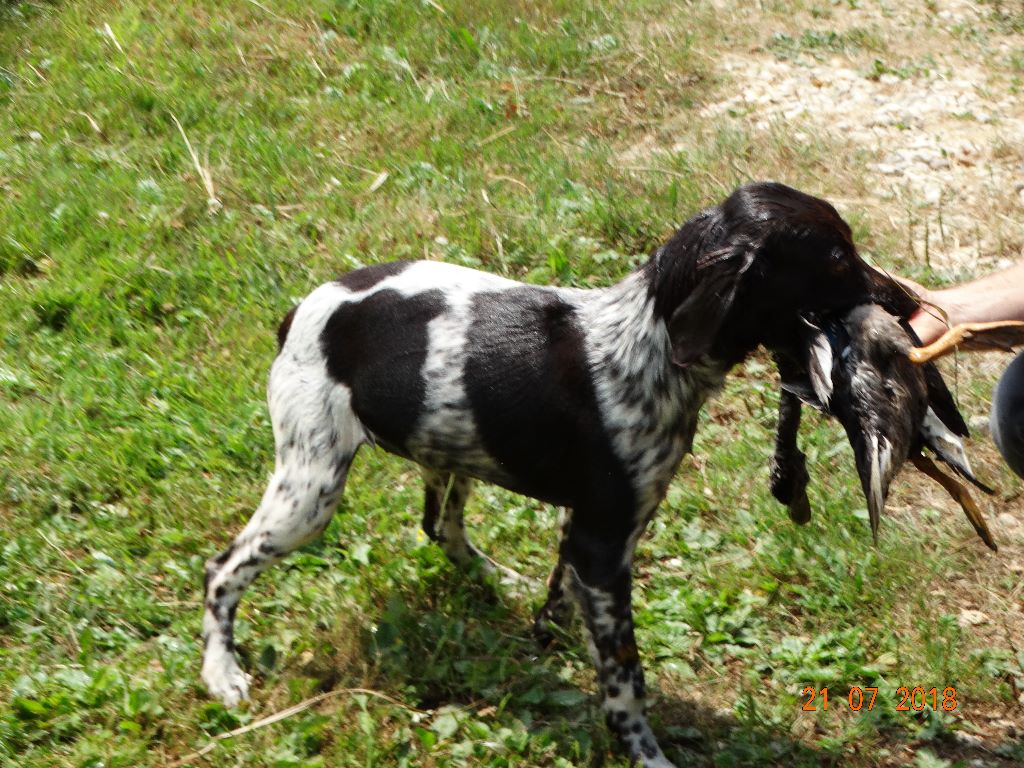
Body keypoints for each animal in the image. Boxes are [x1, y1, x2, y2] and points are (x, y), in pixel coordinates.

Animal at [199, 183, 913, 765]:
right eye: (837, 258)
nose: (906, 305)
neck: (649, 343)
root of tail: (299, 313)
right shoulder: (603, 547)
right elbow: (625, 676)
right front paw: (643, 752)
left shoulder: (587, 536)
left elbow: (569, 604)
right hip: (311, 486)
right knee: (222, 570)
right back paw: (220, 671)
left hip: (449, 449)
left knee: (440, 527)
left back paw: (496, 579)